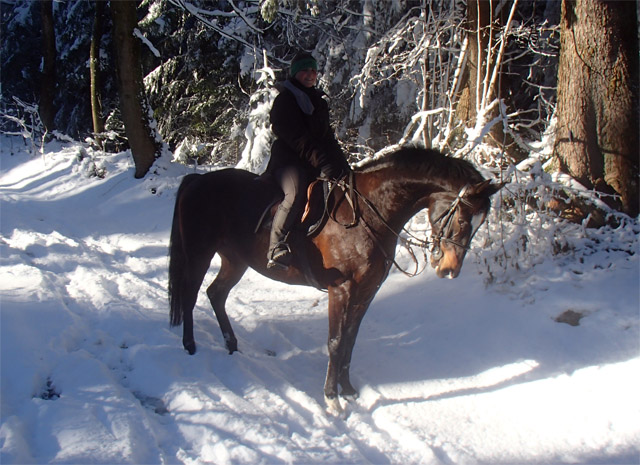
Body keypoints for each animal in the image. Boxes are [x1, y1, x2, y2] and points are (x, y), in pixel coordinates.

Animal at [168, 146, 502, 410]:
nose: (449, 268)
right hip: (199, 253)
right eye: (463, 219)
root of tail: (198, 181)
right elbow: (335, 341)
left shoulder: (367, 291)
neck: (368, 212)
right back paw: (189, 345)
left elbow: (350, 341)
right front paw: (331, 398)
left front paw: (349, 390)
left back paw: (232, 345)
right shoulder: (341, 290)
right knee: (190, 295)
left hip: (235, 261)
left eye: (479, 223)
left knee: (216, 294)